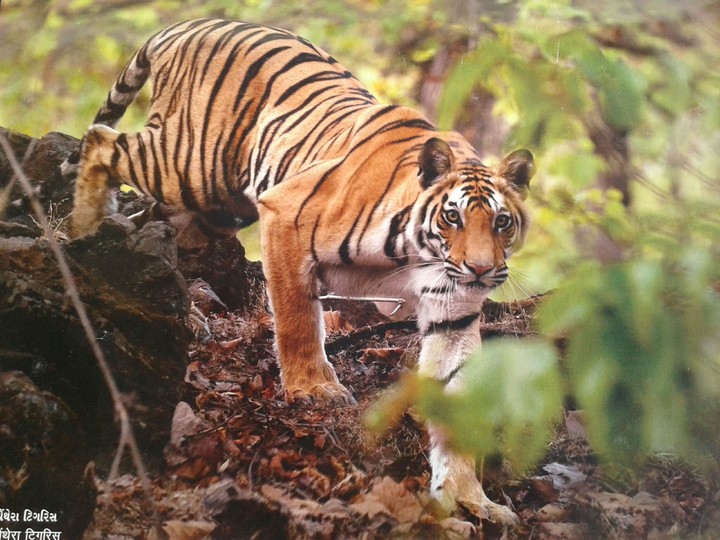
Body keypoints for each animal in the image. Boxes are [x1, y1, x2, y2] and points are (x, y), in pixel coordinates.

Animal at [68, 19, 534, 526]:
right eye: (453, 217)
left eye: (502, 222)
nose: (481, 270)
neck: (419, 253)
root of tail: (190, 24)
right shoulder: (285, 217)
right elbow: (297, 320)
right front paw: (314, 389)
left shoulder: (454, 310)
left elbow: (456, 401)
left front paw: (469, 498)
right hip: (189, 164)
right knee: (100, 140)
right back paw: (82, 233)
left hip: (214, 209)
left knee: (157, 223)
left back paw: (175, 302)